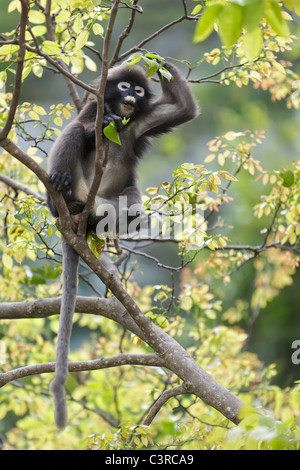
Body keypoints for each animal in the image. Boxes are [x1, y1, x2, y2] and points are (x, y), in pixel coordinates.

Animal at [47, 60, 199, 428]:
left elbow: (183, 109)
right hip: (67, 192)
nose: (131, 98)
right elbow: (82, 125)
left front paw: (158, 63)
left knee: (131, 208)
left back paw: (90, 220)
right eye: (125, 87)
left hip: (108, 201)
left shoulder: (140, 122)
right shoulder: (94, 106)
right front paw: (103, 125)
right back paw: (60, 189)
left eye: (139, 91)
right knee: (73, 133)